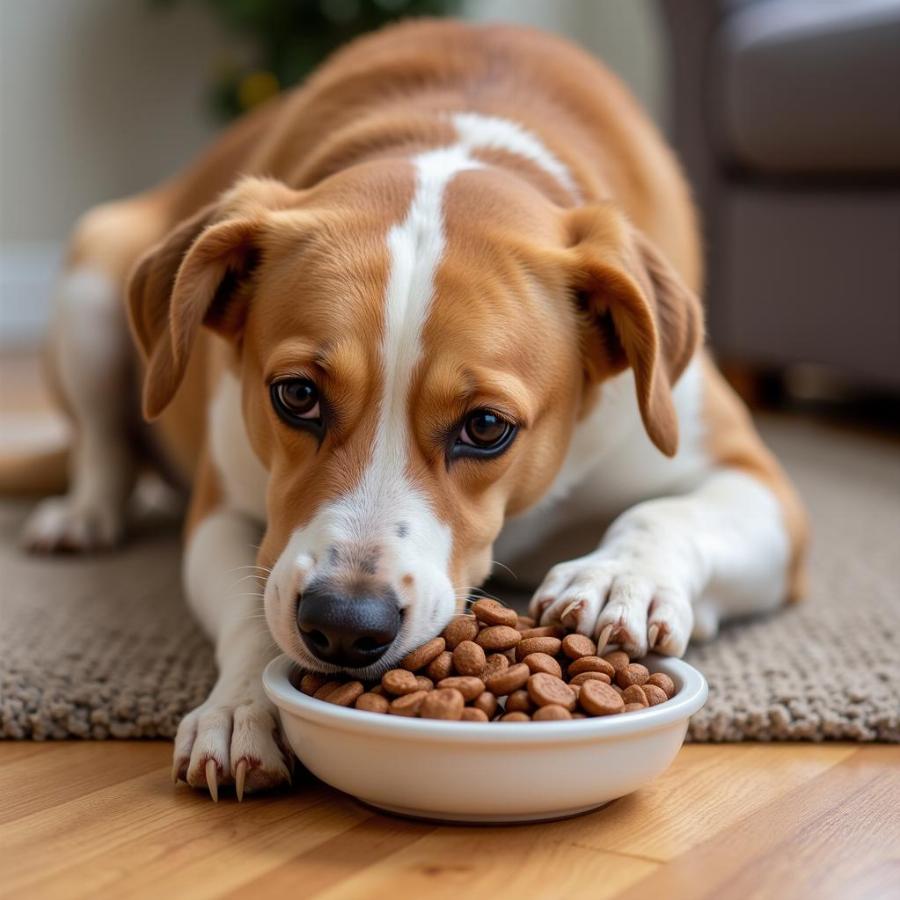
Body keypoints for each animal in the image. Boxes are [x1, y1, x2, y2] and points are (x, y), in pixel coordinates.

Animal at [7, 19, 808, 796]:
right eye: (296, 394)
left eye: (486, 427)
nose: (342, 624)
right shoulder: (223, 507)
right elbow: (250, 604)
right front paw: (243, 706)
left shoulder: (756, 482)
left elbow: (666, 512)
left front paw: (617, 577)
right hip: (90, 279)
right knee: (103, 443)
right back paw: (83, 516)